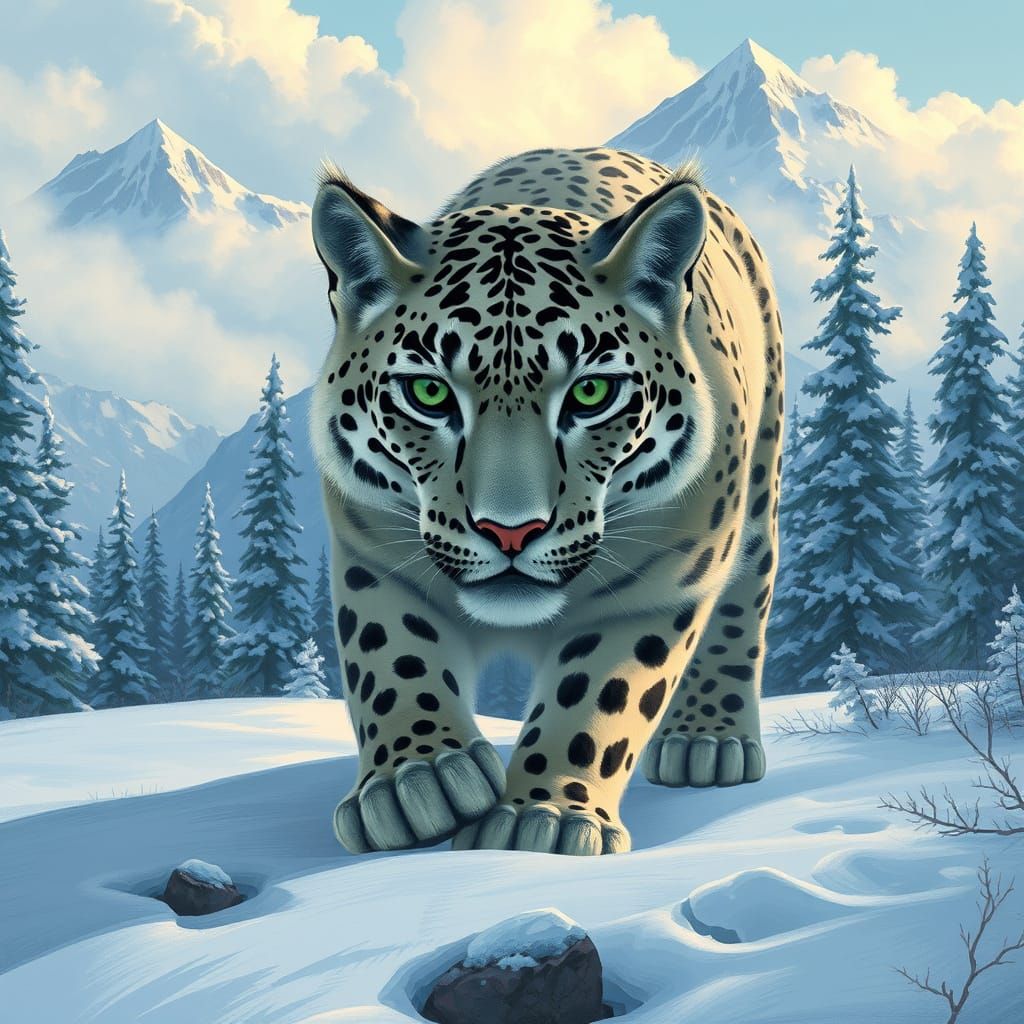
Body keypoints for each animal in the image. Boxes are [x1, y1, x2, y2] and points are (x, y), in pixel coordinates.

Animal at [309, 145, 783, 857]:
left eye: (591, 393)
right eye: (429, 392)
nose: (511, 532)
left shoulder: (657, 585)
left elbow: (599, 697)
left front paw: (546, 817)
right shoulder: (374, 548)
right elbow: (389, 652)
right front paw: (419, 778)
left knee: (748, 591)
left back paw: (709, 738)